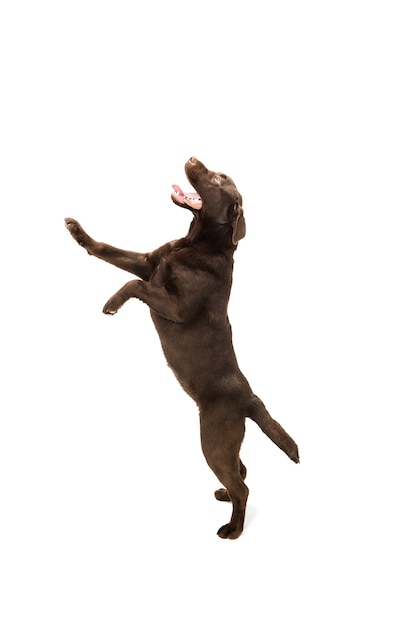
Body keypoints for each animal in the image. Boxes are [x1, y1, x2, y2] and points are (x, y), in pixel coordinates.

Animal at [64, 156, 300, 536]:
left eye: (217, 179)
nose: (192, 158)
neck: (197, 242)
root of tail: (250, 398)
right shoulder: (148, 262)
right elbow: (109, 251)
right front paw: (77, 231)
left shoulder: (173, 305)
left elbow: (132, 285)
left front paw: (111, 303)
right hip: (225, 443)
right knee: (241, 472)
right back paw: (224, 496)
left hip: (214, 439)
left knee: (242, 485)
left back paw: (232, 529)